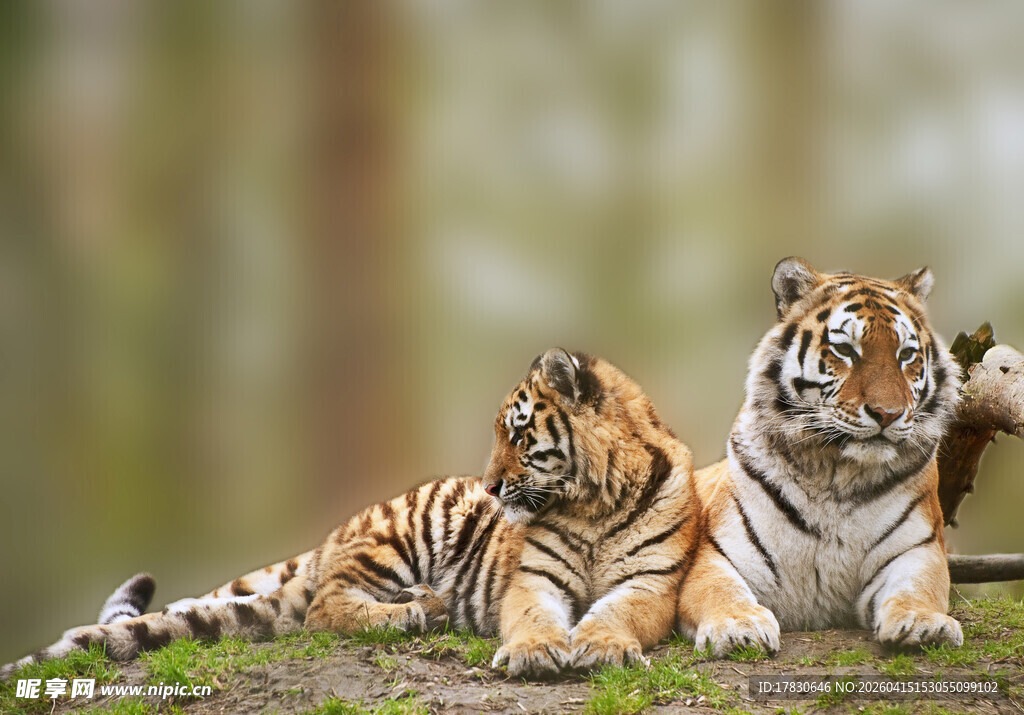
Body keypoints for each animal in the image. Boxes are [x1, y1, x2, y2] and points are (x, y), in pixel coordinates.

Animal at [2, 348, 698, 680]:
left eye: (519, 435)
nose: (492, 484)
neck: (595, 502)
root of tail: (334, 536)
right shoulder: (533, 580)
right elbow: (530, 617)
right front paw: (533, 653)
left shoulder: (651, 584)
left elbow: (618, 615)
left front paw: (602, 648)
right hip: (404, 530)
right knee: (323, 608)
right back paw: (419, 608)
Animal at [677, 257, 963, 656]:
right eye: (845, 350)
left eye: (906, 355)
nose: (887, 413)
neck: (835, 474)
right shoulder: (719, 554)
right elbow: (721, 591)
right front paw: (737, 627)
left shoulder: (917, 550)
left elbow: (918, 589)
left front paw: (924, 623)